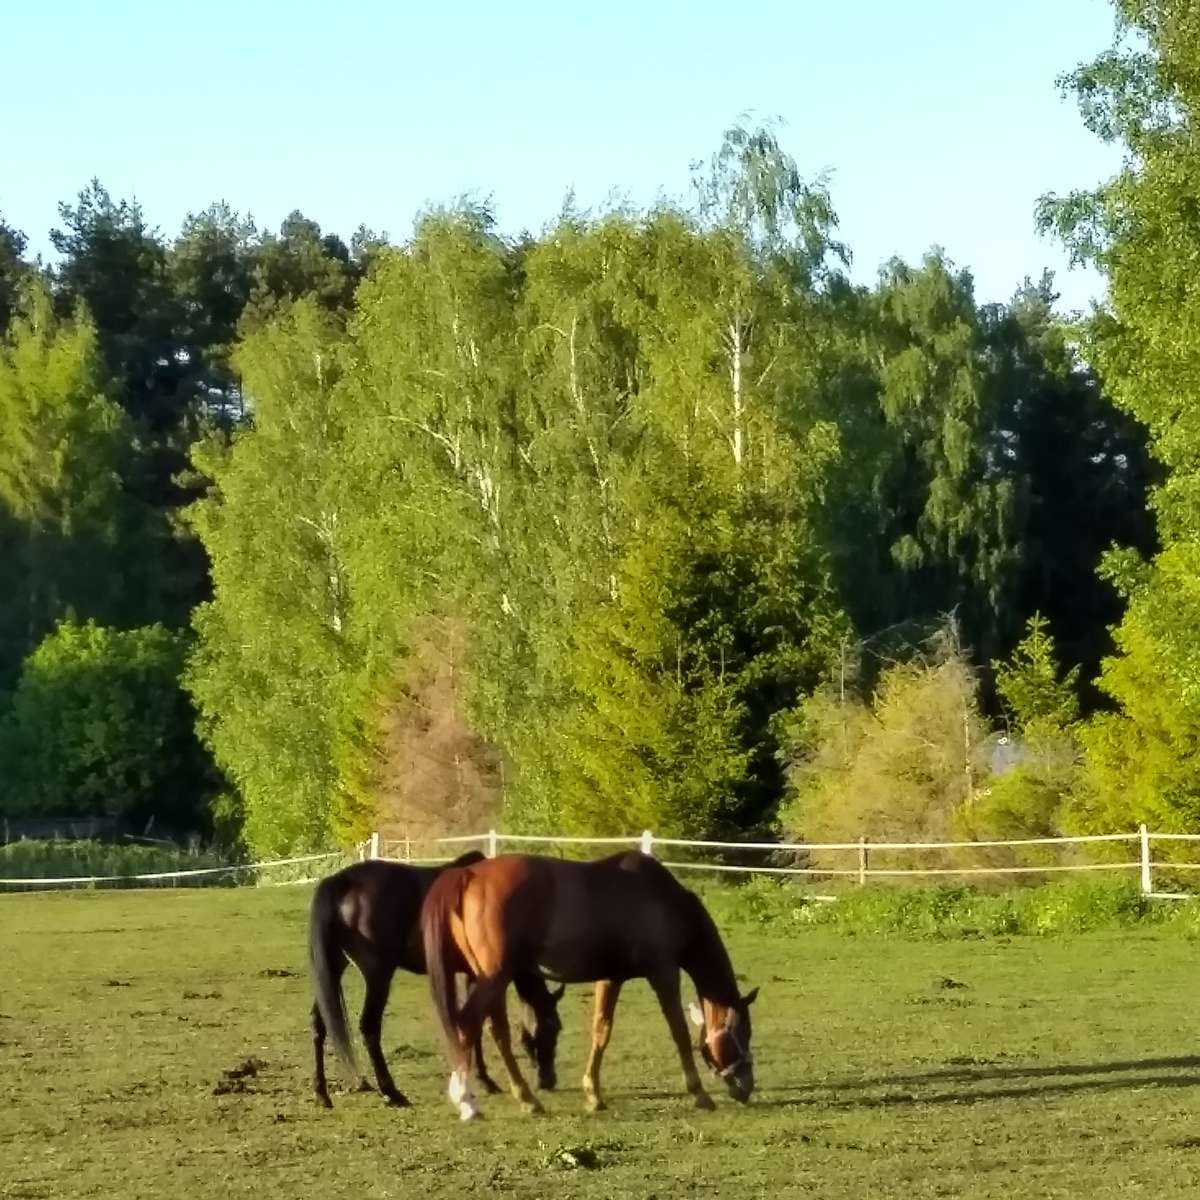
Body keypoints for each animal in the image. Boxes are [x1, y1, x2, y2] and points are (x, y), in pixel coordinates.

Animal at [308, 849, 564, 1108]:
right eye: (553, 1026)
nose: (549, 1080)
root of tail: (342, 881)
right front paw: (486, 1080)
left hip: (334, 969)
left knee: (319, 1024)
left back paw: (322, 1093)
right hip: (377, 975)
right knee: (369, 1027)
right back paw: (391, 1092)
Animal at [421, 850, 758, 1120]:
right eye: (743, 1033)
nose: (746, 1087)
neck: (662, 899)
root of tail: (469, 874)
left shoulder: (610, 978)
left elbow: (601, 1032)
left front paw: (593, 1095)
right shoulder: (663, 974)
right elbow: (679, 1032)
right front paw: (700, 1093)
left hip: (490, 978)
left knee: (495, 1031)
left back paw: (526, 1098)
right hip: (495, 977)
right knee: (468, 1024)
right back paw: (468, 1101)